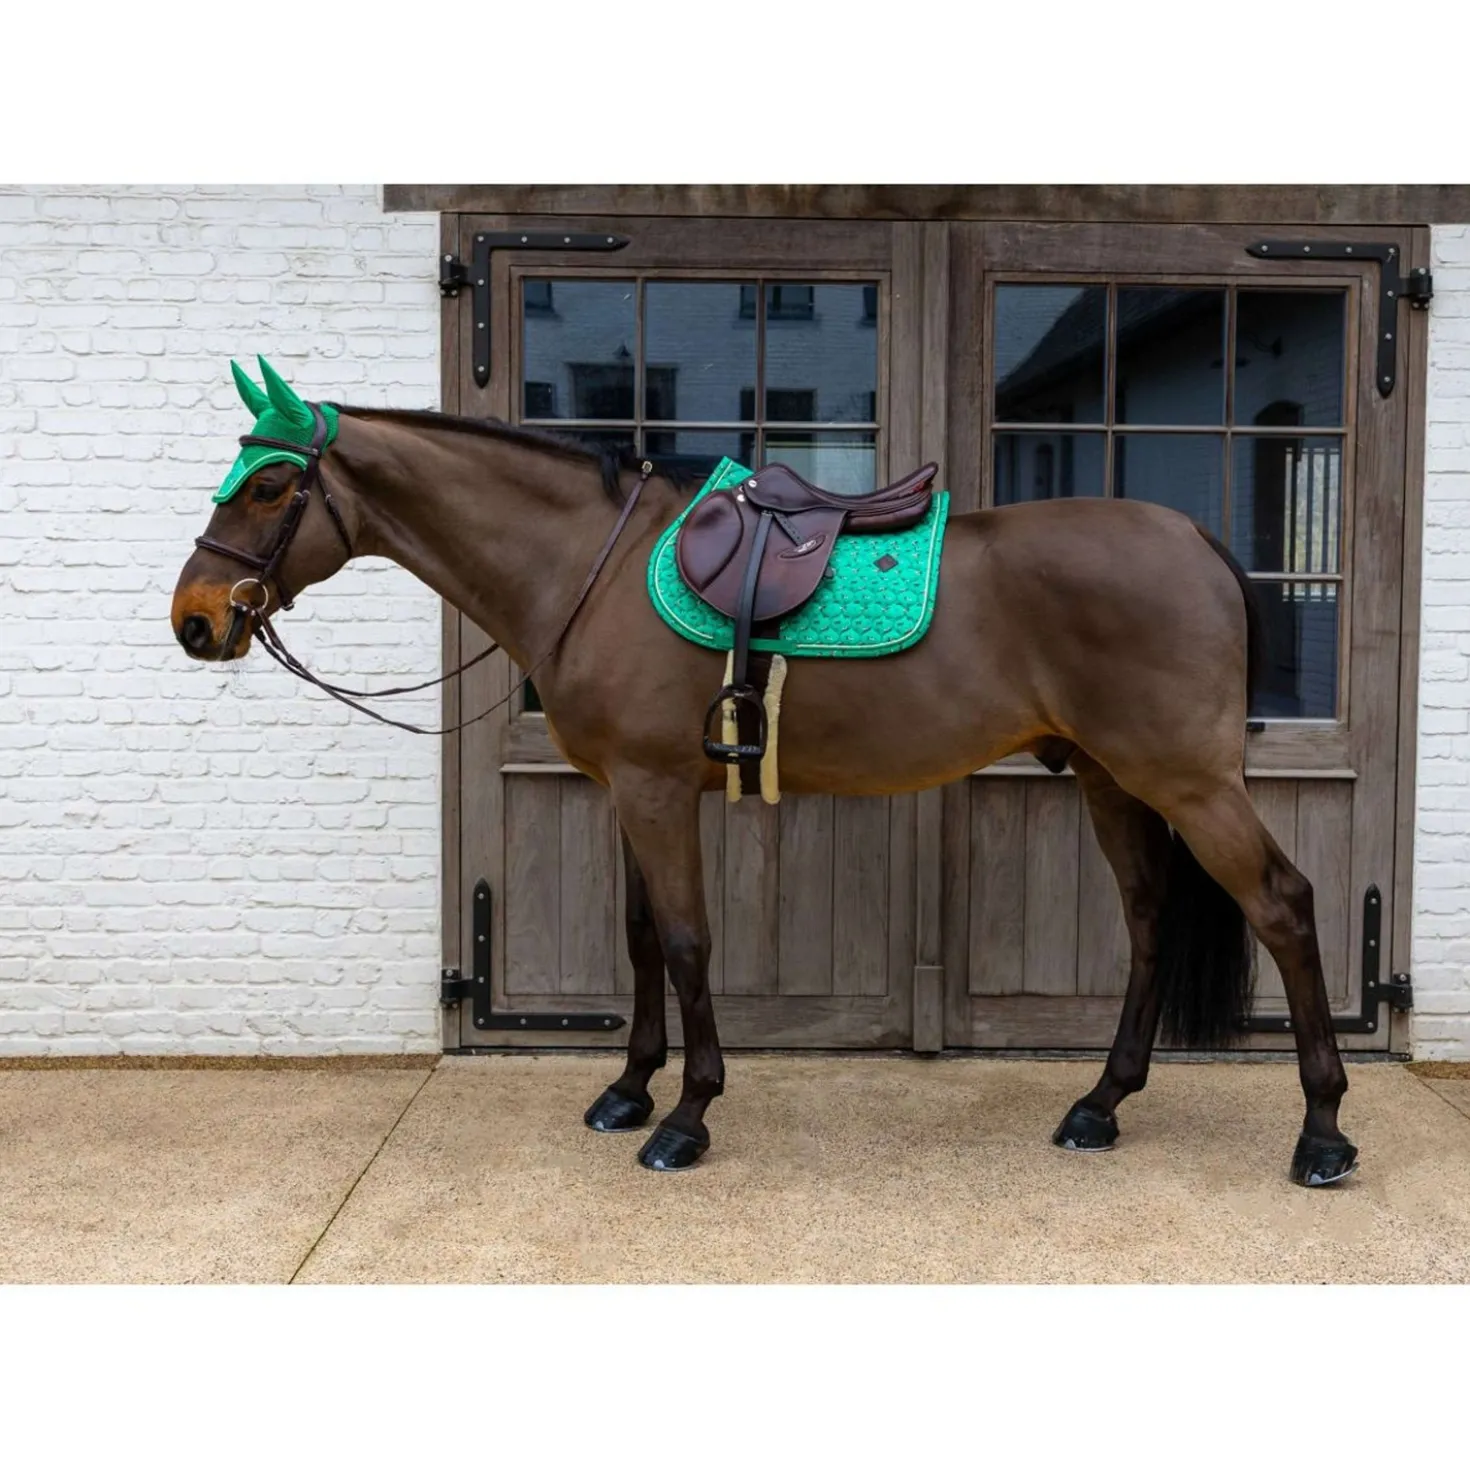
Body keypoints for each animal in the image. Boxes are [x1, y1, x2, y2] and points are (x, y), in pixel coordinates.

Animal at [170, 359, 1359, 1187]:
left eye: (269, 485)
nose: (195, 619)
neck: (591, 567)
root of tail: (1199, 542)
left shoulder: (656, 792)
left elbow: (691, 942)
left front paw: (687, 1117)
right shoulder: (626, 791)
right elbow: (642, 941)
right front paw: (627, 1090)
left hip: (1189, 782)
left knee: (1286, 905)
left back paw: (1322, 1131)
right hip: (1115, 778)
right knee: (1152, 920)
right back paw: (1100, 1105)